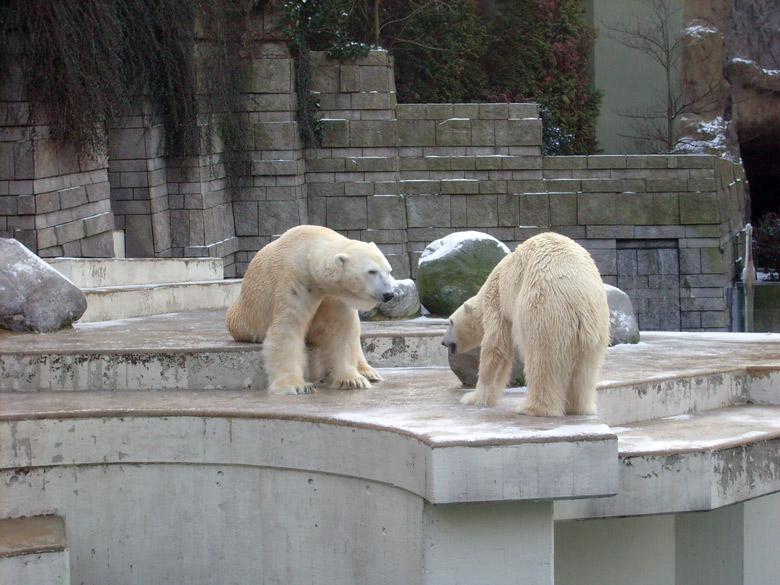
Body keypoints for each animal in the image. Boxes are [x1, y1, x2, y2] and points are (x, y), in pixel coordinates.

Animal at [227, 226, 396, 394]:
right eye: (372, 271)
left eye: (388, 270)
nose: (388, 294)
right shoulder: (295, 281)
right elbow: (288, 328)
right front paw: (298, 385)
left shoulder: (335, 294)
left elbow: (343, 329)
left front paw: (352, 380)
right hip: (242, 317)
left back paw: (368, 372)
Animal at [442, 230, 612, 418]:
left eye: (450, 322)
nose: (443, 342)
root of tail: (581, 299)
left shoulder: (497, 299)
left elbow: (496, 346)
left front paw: (473, 397)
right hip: (597, 327)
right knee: (585, 371)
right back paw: (578, 407)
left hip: (543, 310)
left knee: (541, 358)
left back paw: (533, 407)